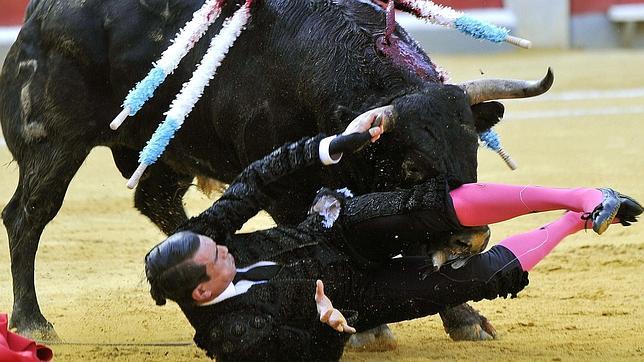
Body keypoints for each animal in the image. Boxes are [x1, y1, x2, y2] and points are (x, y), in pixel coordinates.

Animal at [0, 0, 552, 340]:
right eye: (413, 164)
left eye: (471, 153)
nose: (472, 237)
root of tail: (37, 15)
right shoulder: (288, 190)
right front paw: (370, 327)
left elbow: (416, 250)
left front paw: (466, 320)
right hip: (54, 142)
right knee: (28, 216)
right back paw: (32, 322)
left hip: (169, 151)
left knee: (155, 199)